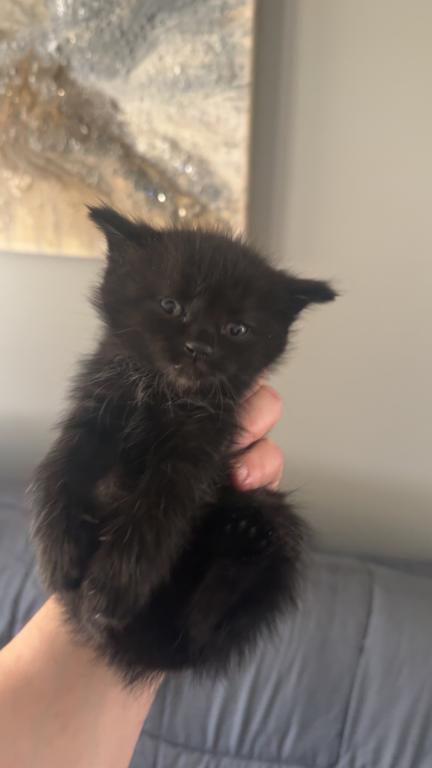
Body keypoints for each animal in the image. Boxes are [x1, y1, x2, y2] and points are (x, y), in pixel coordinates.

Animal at [31, 205, 336, 683]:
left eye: (236, 329)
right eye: (170, 305)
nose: (199, 347)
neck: (160, 393)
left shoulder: (197, 449)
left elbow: (158, 509)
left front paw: (114, 584)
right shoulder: (94, 411)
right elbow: (58, 467)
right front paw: (58, 550)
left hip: (272, 514)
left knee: (200, 628)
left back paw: (241, 546)